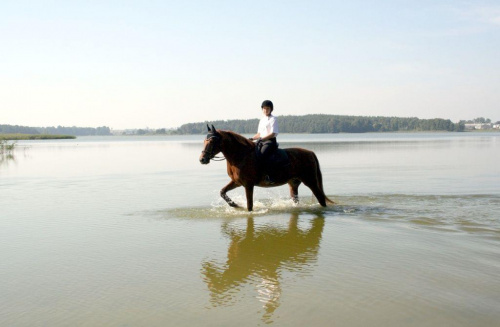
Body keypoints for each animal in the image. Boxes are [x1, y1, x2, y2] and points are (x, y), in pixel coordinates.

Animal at [198, 124, 332, 211]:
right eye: (204, 140)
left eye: (211, 141)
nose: (202, 159)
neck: (241, 156)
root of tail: (310, 153)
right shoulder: (236, 182)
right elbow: (222, 192)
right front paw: (235, 205)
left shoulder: (248, 185)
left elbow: (250, 205)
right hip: (293, 183)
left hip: (310, 181)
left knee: (321, 198)